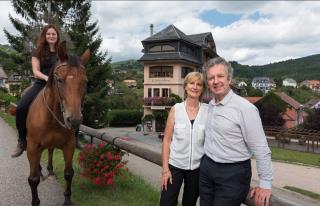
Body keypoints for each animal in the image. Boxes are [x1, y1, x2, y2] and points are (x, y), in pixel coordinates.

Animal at [26, 42, 89, 206]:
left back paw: (49, 170)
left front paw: (67, 198)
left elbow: (68, 173)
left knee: (50, 150)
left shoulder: (69, 145)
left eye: (85, 82)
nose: (74, 120)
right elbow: (33, 179)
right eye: (60, 80)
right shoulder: (32, 147)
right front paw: (35, 201)